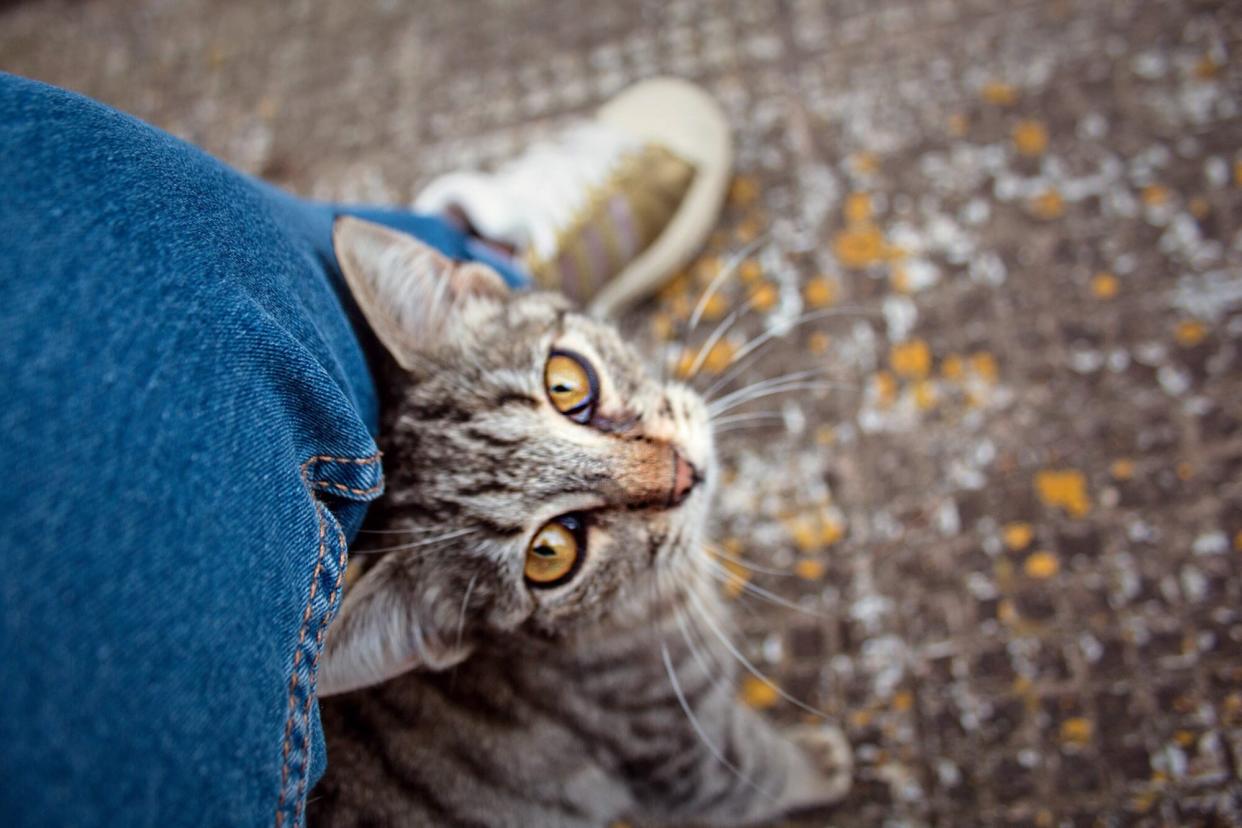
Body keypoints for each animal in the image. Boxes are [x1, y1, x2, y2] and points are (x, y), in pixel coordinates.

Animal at [310, 218, 854, 828]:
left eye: (566, 383)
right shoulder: (681, 753)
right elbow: (756, 771)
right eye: (549, 554)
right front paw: (819, 762)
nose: (682, 474)